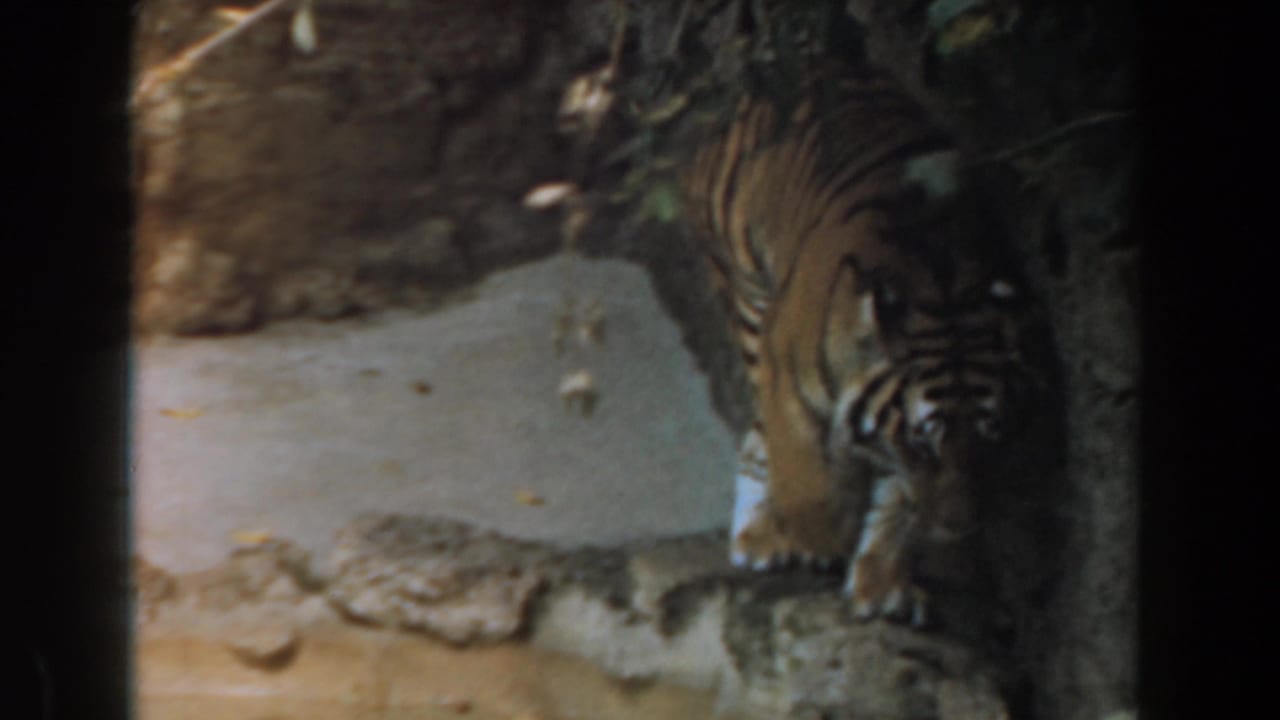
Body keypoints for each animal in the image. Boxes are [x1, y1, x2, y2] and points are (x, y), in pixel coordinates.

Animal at [682, 66, 1036, 625]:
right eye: (923, 441)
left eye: (988, 436)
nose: (955, 530)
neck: (945, 287)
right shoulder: (788, 375)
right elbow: (804, 478)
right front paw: (820, 541)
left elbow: (897, 501)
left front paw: (884, 587)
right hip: (749, 296)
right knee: (761, 430)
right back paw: (763, 536)